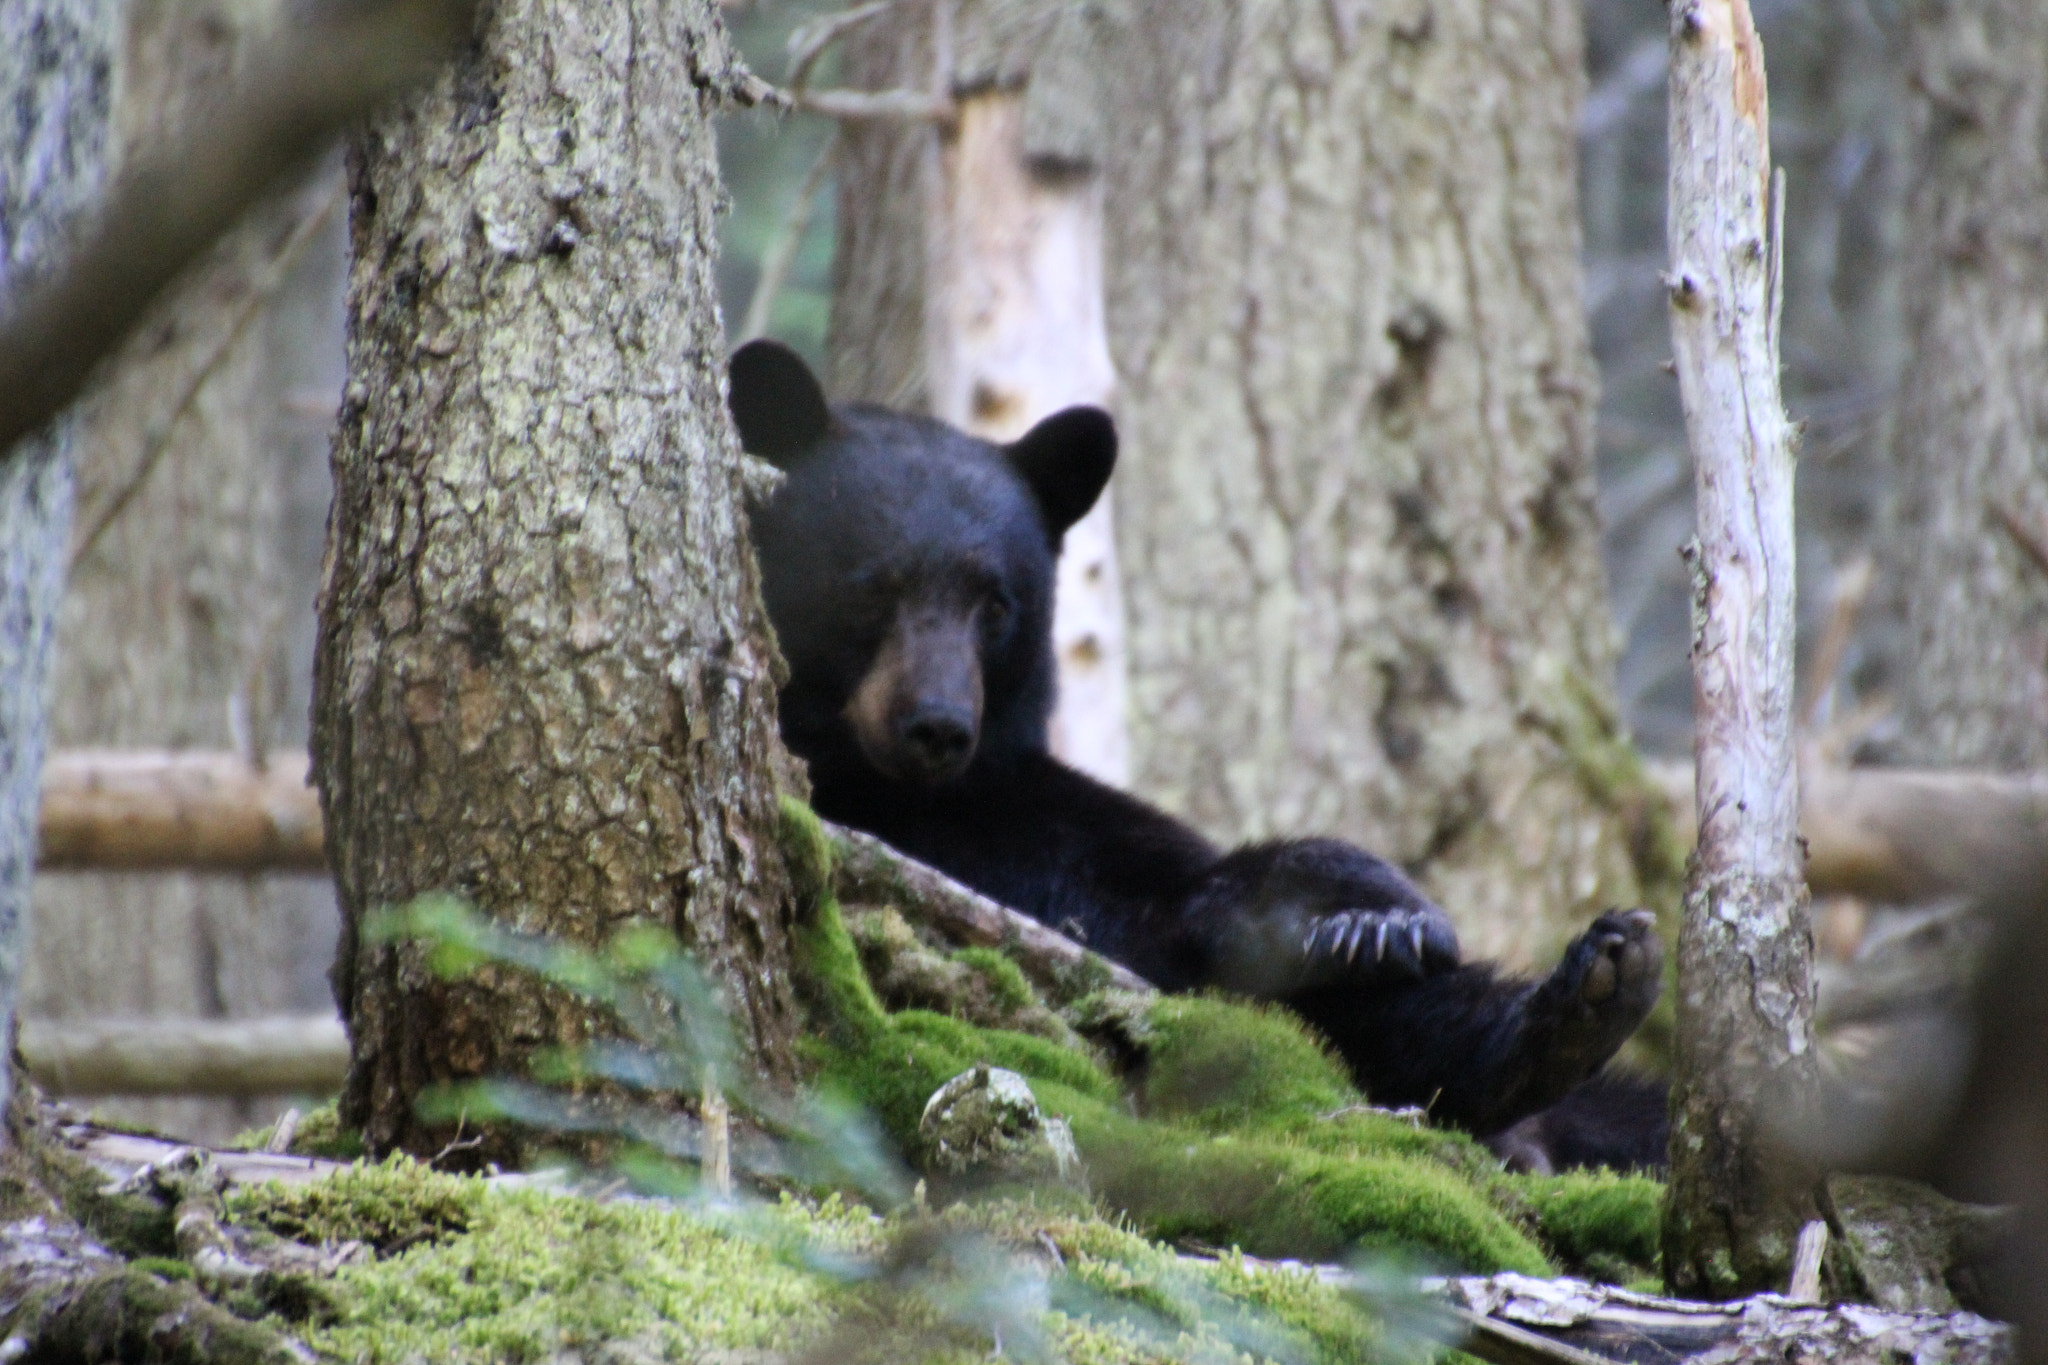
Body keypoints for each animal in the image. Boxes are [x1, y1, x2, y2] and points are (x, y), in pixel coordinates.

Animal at [729, 338, 1661, 1143]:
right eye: (869, 586)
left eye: (994, 602)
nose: (938, 726)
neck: (894, 793)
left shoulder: (1024, 812)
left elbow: (1180, 888)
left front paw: (1382, 917)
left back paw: (1586, 994)